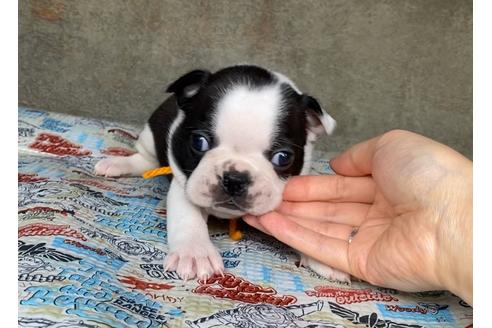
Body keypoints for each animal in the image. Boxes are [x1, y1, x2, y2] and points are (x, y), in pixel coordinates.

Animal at [95, 64, 350, 282]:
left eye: (283, 157)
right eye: (199, 142)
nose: (235, 179)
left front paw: (321, 256)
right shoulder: (184, 183)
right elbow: (188, 216)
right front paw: (195, 252)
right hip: (150, 135)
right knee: (144, 158)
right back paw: (116, 164)